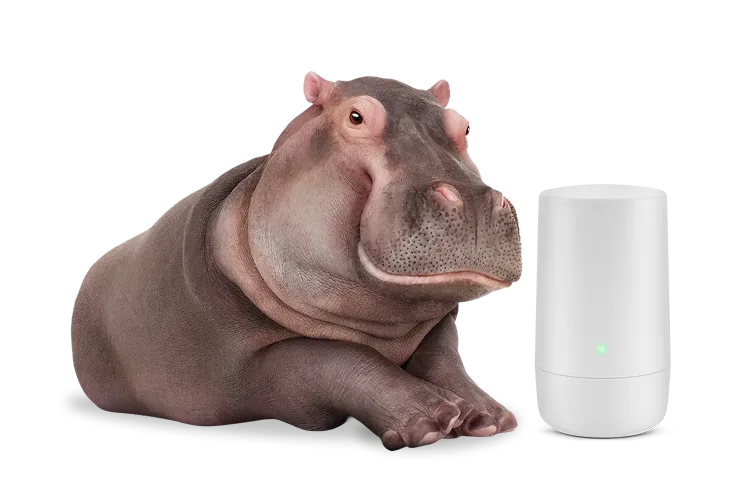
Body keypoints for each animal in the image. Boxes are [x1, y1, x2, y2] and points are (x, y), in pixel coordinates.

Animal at [70, 71, 523, 449]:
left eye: (464, 127)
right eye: (356, 117)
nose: (475, 201)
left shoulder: (436, 325)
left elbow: (443, 356)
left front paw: (487, 417)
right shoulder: (249, 369)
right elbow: (335, 359)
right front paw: (434, 419)